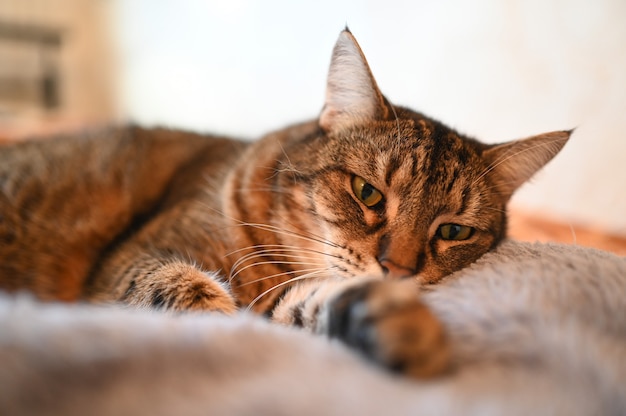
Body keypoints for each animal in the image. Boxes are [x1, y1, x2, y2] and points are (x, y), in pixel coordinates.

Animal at [0, 30, 564, 378]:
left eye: (452, 231)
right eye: (368, 193)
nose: (399, 270)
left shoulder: (281, 301)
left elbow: (306, 305)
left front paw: (397, 324)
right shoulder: (132, 261)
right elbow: (187, 293)